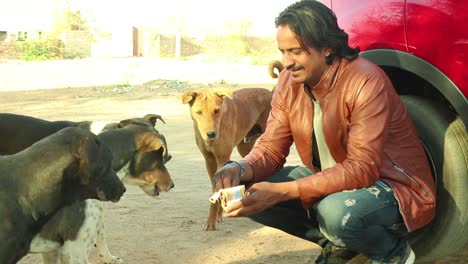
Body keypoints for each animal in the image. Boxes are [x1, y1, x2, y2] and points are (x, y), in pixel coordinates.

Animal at [182, 87, 272, 230]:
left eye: (216, 110)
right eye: (199, 112)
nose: (211, 134)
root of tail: (270, 92)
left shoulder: (222, 158)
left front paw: (212, 221)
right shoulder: (209, 161)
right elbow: (216, 189)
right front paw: (217, 216)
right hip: (244, 147)